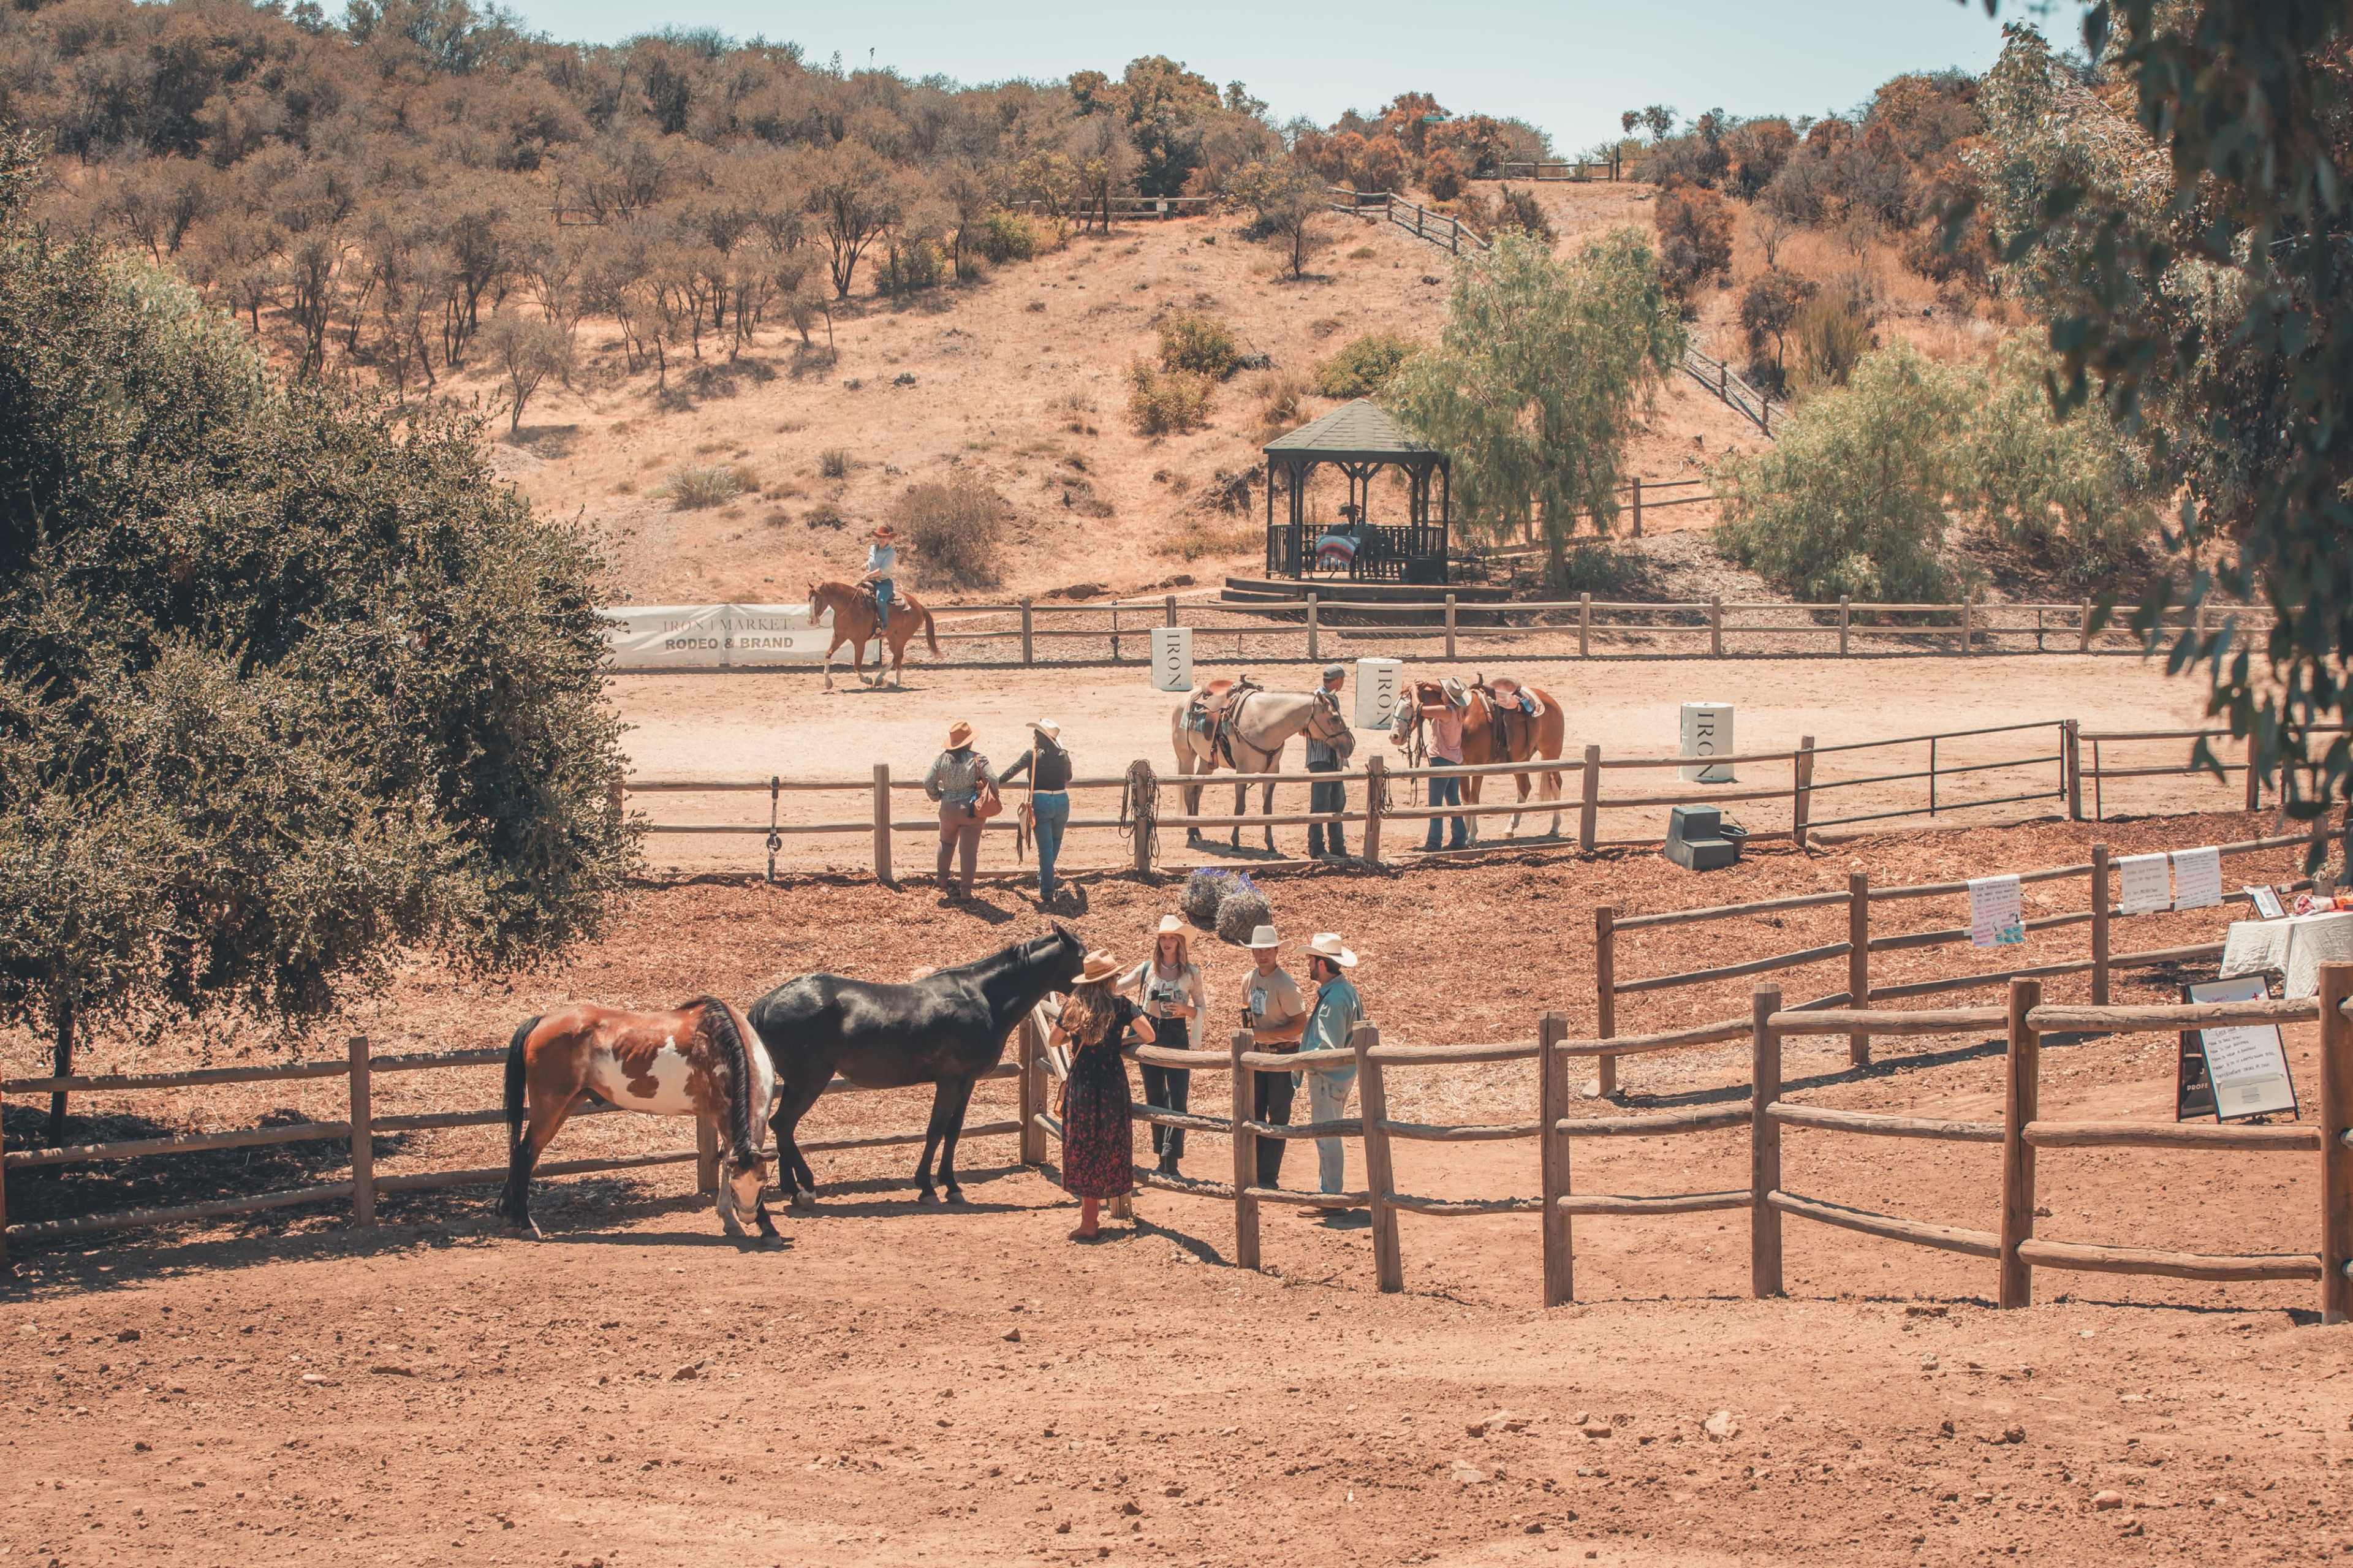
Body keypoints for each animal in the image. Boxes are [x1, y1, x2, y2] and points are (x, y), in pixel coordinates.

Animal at [499, 996, 780, 1242]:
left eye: (763, 1182)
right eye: (736, 1186)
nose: (747, 1215)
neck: (724, 1044)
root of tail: (542, 1020)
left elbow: (725, 1161)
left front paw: (735, 1223)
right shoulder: (722, 1114)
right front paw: (765, 1227)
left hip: (567, 1104)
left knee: (528, 1154)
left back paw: (511, 1216)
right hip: (550, 1106)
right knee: (525, 1153)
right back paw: (525, 1224)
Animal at [746, 925, 1085, 1207]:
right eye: (1082, 956)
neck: (984, 998)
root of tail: (767, 1002)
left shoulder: (967, 1081)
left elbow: (954, 1130)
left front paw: (951, 1185)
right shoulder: (949, 1081)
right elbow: (936, 1129)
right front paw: (927, 1187)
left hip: (797, 1083)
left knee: (783, 1126)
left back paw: (793, 1189)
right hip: (810, 1081)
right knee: (784, 1124)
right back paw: (805, 1187)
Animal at [808, 579, 939, 690]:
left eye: (818, 600)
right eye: (809, 599)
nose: (811, 621)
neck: (849, 607)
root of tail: (919, 606)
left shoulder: (859, 642)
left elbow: (857, 666)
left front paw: (868, 680)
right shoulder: (839, 636)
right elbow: (828, 654)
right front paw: (828, 683)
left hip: (902, 637)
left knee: (898, 656)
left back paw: (883, 680)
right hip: (892, 638)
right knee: (897, 657)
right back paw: (892, 681)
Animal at [1169, 684, 1357, 851]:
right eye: (1334, 718)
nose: (1350, 745)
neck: (1263, 722)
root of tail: (1184, 699)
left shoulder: (1272, 772)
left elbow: (1268, 809)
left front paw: (1270, 845)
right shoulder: (1242, 771)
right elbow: (1240, 807)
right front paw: (1235, 844)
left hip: (1206, 761)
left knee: (1197, 788)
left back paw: (1197, 830)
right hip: (1186, 758)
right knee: (1188, 789)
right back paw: (1191, 833)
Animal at [1390, 675, 1568, 842]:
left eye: (1409, 706)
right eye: (1395, 706)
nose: (1394, 737)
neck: (1465, 716)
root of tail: (1550, 701)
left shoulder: (1478, 766)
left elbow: (1474, 800)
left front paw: (1471, 836)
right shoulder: (1461, 766)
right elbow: (1465, 799)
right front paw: (1465, 832)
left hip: (1551, 754)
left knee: (1556, 783)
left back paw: (1554, 828)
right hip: (1520, 760)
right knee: (1525, 787)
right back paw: (1510, 829)